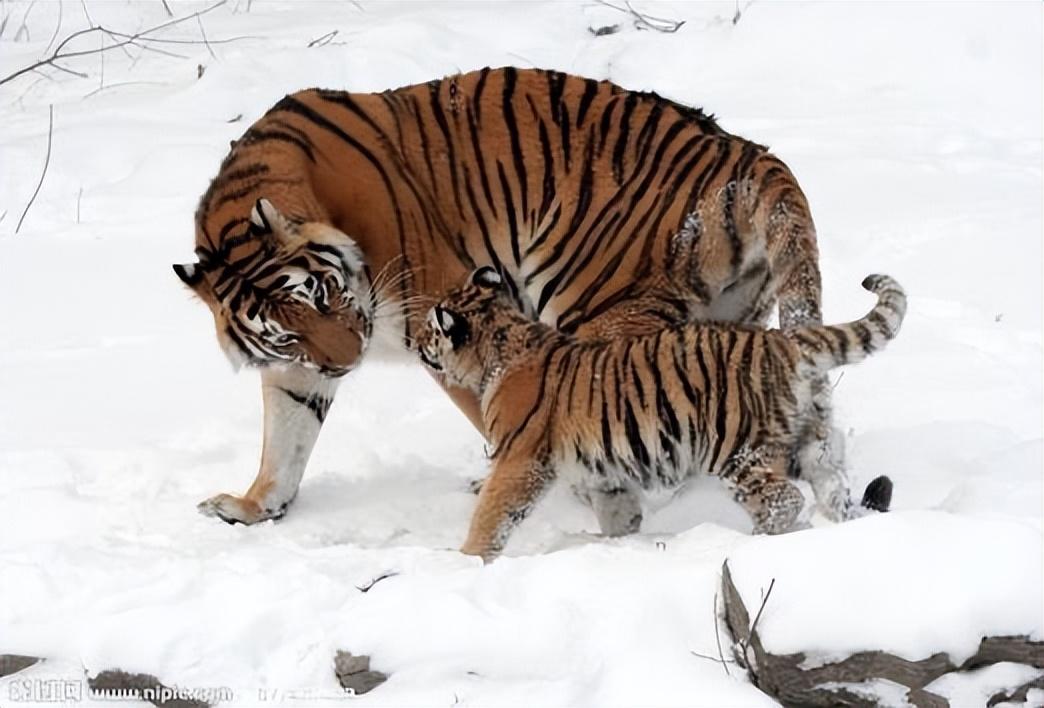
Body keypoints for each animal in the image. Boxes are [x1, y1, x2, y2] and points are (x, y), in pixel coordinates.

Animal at [174, 66, 843, 527]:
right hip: (730, 320)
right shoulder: (298, 368)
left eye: (322, 293)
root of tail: (747, 153)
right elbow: (285, 437)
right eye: (286, 332)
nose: (348, 361)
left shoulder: (443, 316)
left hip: (600, 309)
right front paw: (253, 506)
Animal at [416, 267, 905, 561]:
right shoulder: (604, 471)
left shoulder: (520, 460)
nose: (416, 341)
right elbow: (618, 512)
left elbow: (492, 513)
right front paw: (615, 542)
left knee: (784, 499)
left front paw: (465, 560)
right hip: (814, 443)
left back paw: (748, 544)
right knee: (834, 492)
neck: (500, 344)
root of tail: (785, 342)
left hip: (736, 450)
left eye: (428, 329)